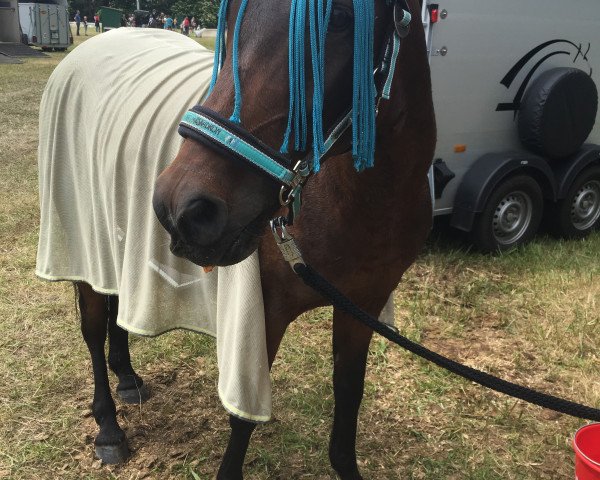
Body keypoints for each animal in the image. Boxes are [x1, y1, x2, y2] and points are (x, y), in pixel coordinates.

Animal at [152, 1, 436, 478]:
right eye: (231, 19)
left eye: (339, 18)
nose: (182, 209)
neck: (361, 209)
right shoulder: (264, 315)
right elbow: (243, 419)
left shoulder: (363, 305)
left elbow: (348, 396)